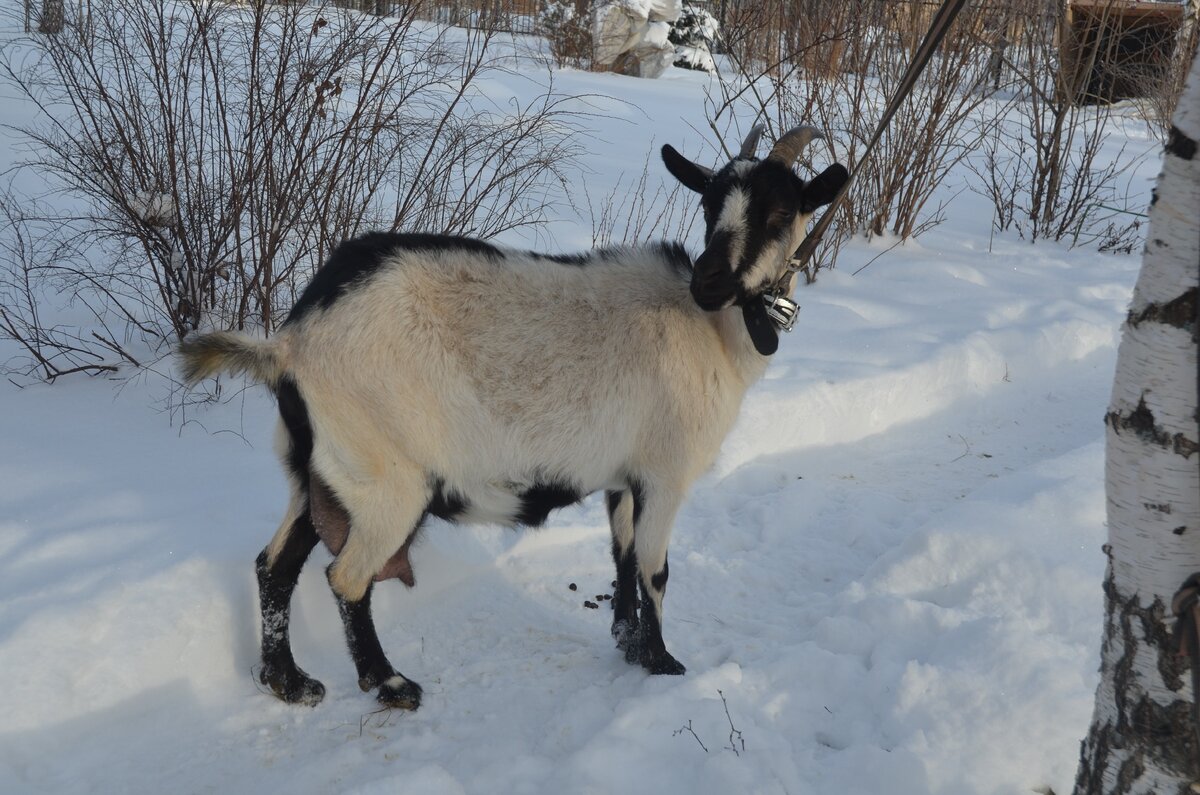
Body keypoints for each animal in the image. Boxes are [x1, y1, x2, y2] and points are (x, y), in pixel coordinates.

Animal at [182, 127, 849, 710]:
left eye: (780, 212)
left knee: (275, 566)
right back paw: (391, 683)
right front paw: (663, 663)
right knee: (346, 577)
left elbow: (622, 557)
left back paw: (289, 683)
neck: (710, 333)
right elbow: (655, 569)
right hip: (388, 478)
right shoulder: (665, 474)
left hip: (317, 470)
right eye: (711, 203)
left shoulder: (623, 475)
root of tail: (290, 344)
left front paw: (627, 643)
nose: (709, 282)